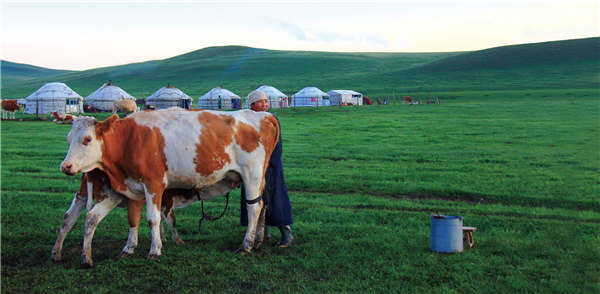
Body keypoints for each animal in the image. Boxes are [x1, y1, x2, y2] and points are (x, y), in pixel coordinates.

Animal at [58, 108, 278, 266]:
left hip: (252, 174)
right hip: (260, 178)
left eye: (87, 139)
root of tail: (263, 115)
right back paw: (258, 240)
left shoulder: (153, 183)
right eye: (67, 139)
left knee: (254, 207)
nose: (65, 166)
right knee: (264, 204)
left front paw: (155, 250)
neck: (130, 138)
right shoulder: (133, 187)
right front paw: (128, 249)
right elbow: (133, 218)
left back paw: (246, 245)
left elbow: (152, 218)